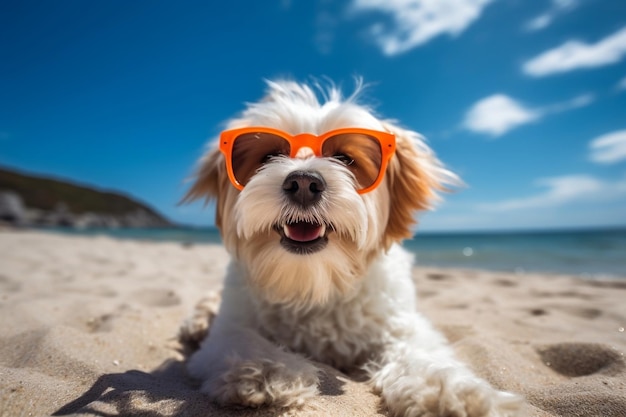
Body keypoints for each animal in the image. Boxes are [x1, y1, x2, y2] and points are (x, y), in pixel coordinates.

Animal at [182, 79, 520, 414]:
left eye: (345, 159)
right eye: (269, 156)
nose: (303, 183)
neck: (314, 280)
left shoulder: (400, 325)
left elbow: (419, 352)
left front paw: (452, 392)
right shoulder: (234, 322)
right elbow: (241, 339)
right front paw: (266, 369)